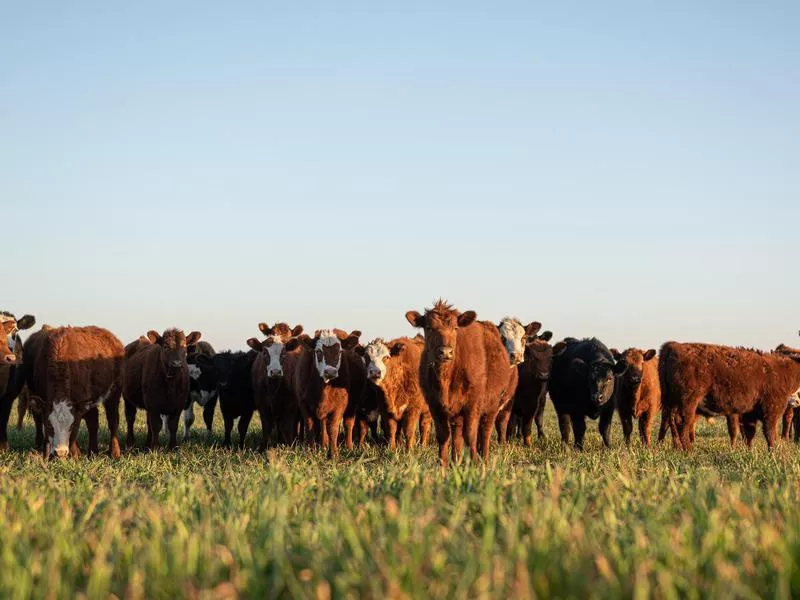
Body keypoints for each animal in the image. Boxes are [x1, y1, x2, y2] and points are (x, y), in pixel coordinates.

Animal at [17, 326, 125, 458]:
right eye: (49, 425)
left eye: (71, 426)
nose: (60, 452)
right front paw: (46, 455)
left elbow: (75, 434)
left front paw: (75, 455)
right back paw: (93, 451)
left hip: (114, 392)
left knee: (112, 420)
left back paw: (114, 452)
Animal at [290, 330, 366, 458]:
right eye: (318, 351)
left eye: (339, 351)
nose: (330, 371)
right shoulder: (303, 403)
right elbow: (310, 426)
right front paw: (311, 451)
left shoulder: (340, 405)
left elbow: (333, 428)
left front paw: (334, 453)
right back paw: (324, 445)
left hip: (352, 404)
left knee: (348, 424)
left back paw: (349, 447)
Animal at [406, 300, 512, 468]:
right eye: (429, 328)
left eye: (455, 328)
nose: (445, 352)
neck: (446, 378)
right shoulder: (435, 406)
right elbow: (443, 436)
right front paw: (442, 465)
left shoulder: (473, 404)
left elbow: (471, 435)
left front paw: (474, 465)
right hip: (457, 413)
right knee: (457, 434)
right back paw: (456, 462)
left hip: (492, 406)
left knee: (485, 431)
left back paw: (483, 460)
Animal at [660, 342, 800, 450]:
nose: (796, 402)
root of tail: (673, 345)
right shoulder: (771, 410)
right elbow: (771, 434)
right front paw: (773, 454)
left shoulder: (749, 414)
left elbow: (749, 434)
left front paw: (748, 452)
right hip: (688, 402)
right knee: (682, 423)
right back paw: (689, 451)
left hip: (672, 403)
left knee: (671, 422)